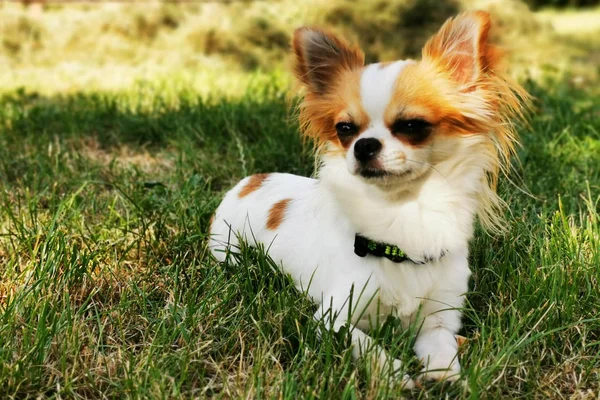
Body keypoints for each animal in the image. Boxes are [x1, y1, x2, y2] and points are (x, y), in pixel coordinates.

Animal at [209, 11, 528, 388]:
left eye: (412, 125)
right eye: (345, 129)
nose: (363, 145)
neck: (404, 212)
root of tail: (251, 179)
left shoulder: (440, 318)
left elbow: (442, 349)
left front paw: (445, 378)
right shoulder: (331, 318)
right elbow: (363, 341)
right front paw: (393, 373)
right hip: (227, 251)